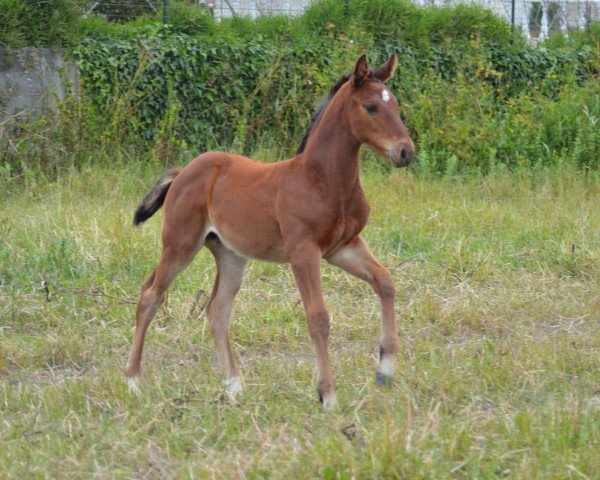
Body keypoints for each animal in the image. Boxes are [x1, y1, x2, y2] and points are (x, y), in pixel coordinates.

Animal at [126, 55, 414, 408]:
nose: (405, 152)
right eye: (371, 107)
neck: (323, 180)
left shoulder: (343, 247)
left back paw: (234, 384)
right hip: (180, 245)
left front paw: (385, 370)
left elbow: (385, 282)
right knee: (150, 295)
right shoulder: (303, 252)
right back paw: (133, 379)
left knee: (217, 309)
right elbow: (318, 317)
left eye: (395, 103)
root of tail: (182, 173)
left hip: (231, 255)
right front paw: (328, 395)